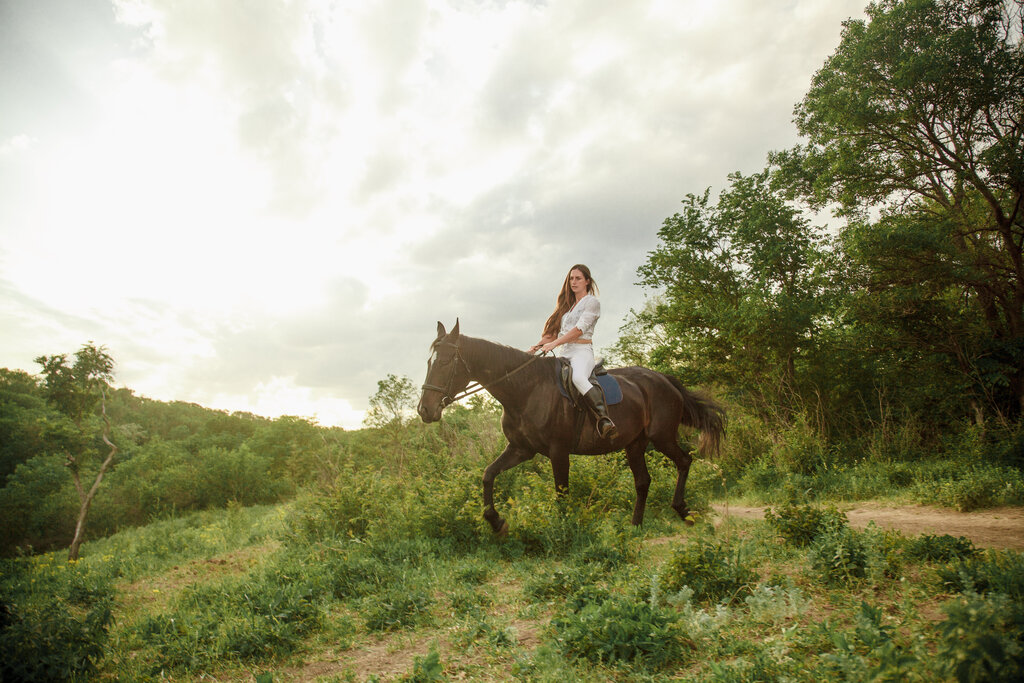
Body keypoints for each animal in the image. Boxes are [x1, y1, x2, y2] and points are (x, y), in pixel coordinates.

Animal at [417, 323, 729, 536]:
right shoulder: (521, 450)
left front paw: (564, 530)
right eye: (429, 361)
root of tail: (663, 379)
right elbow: (488, 474)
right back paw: (635, 526)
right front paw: (497, 522)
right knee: (643, 481)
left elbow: (561, 492)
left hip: (662, 437)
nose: (424, 410)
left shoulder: (558, 452)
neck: (526, 390)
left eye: (444, 362)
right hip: (635, 444)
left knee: (684, 461)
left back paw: (683, 510)